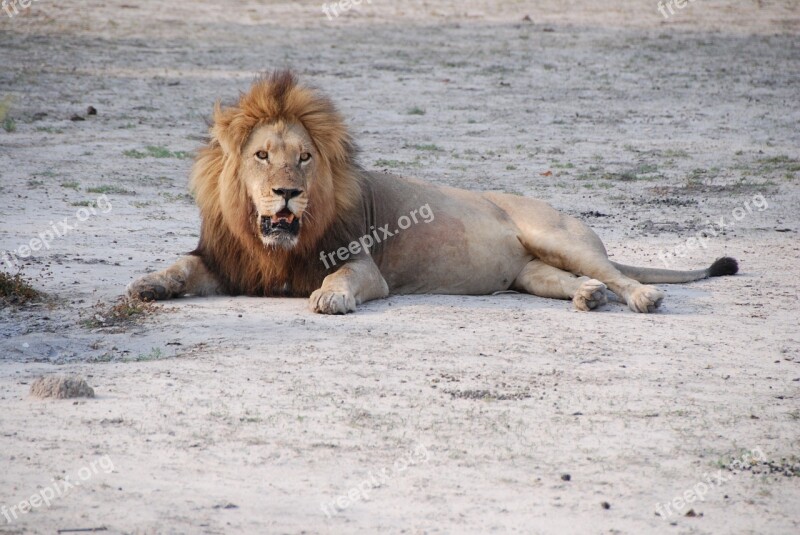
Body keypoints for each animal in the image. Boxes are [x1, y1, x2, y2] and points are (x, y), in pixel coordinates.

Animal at [126, 70, 736, 314]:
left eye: (304, 157)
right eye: (261, 156)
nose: (286, 193)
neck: (270, 246)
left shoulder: (363, 265)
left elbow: (341, 279)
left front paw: (330, 298)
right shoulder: (226, 263)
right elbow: (180, 266)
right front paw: (147, 284)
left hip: (559, 236)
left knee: (617, 273)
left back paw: (642, 297)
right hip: (530, 272)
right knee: (571, 280)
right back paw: (588, 297)